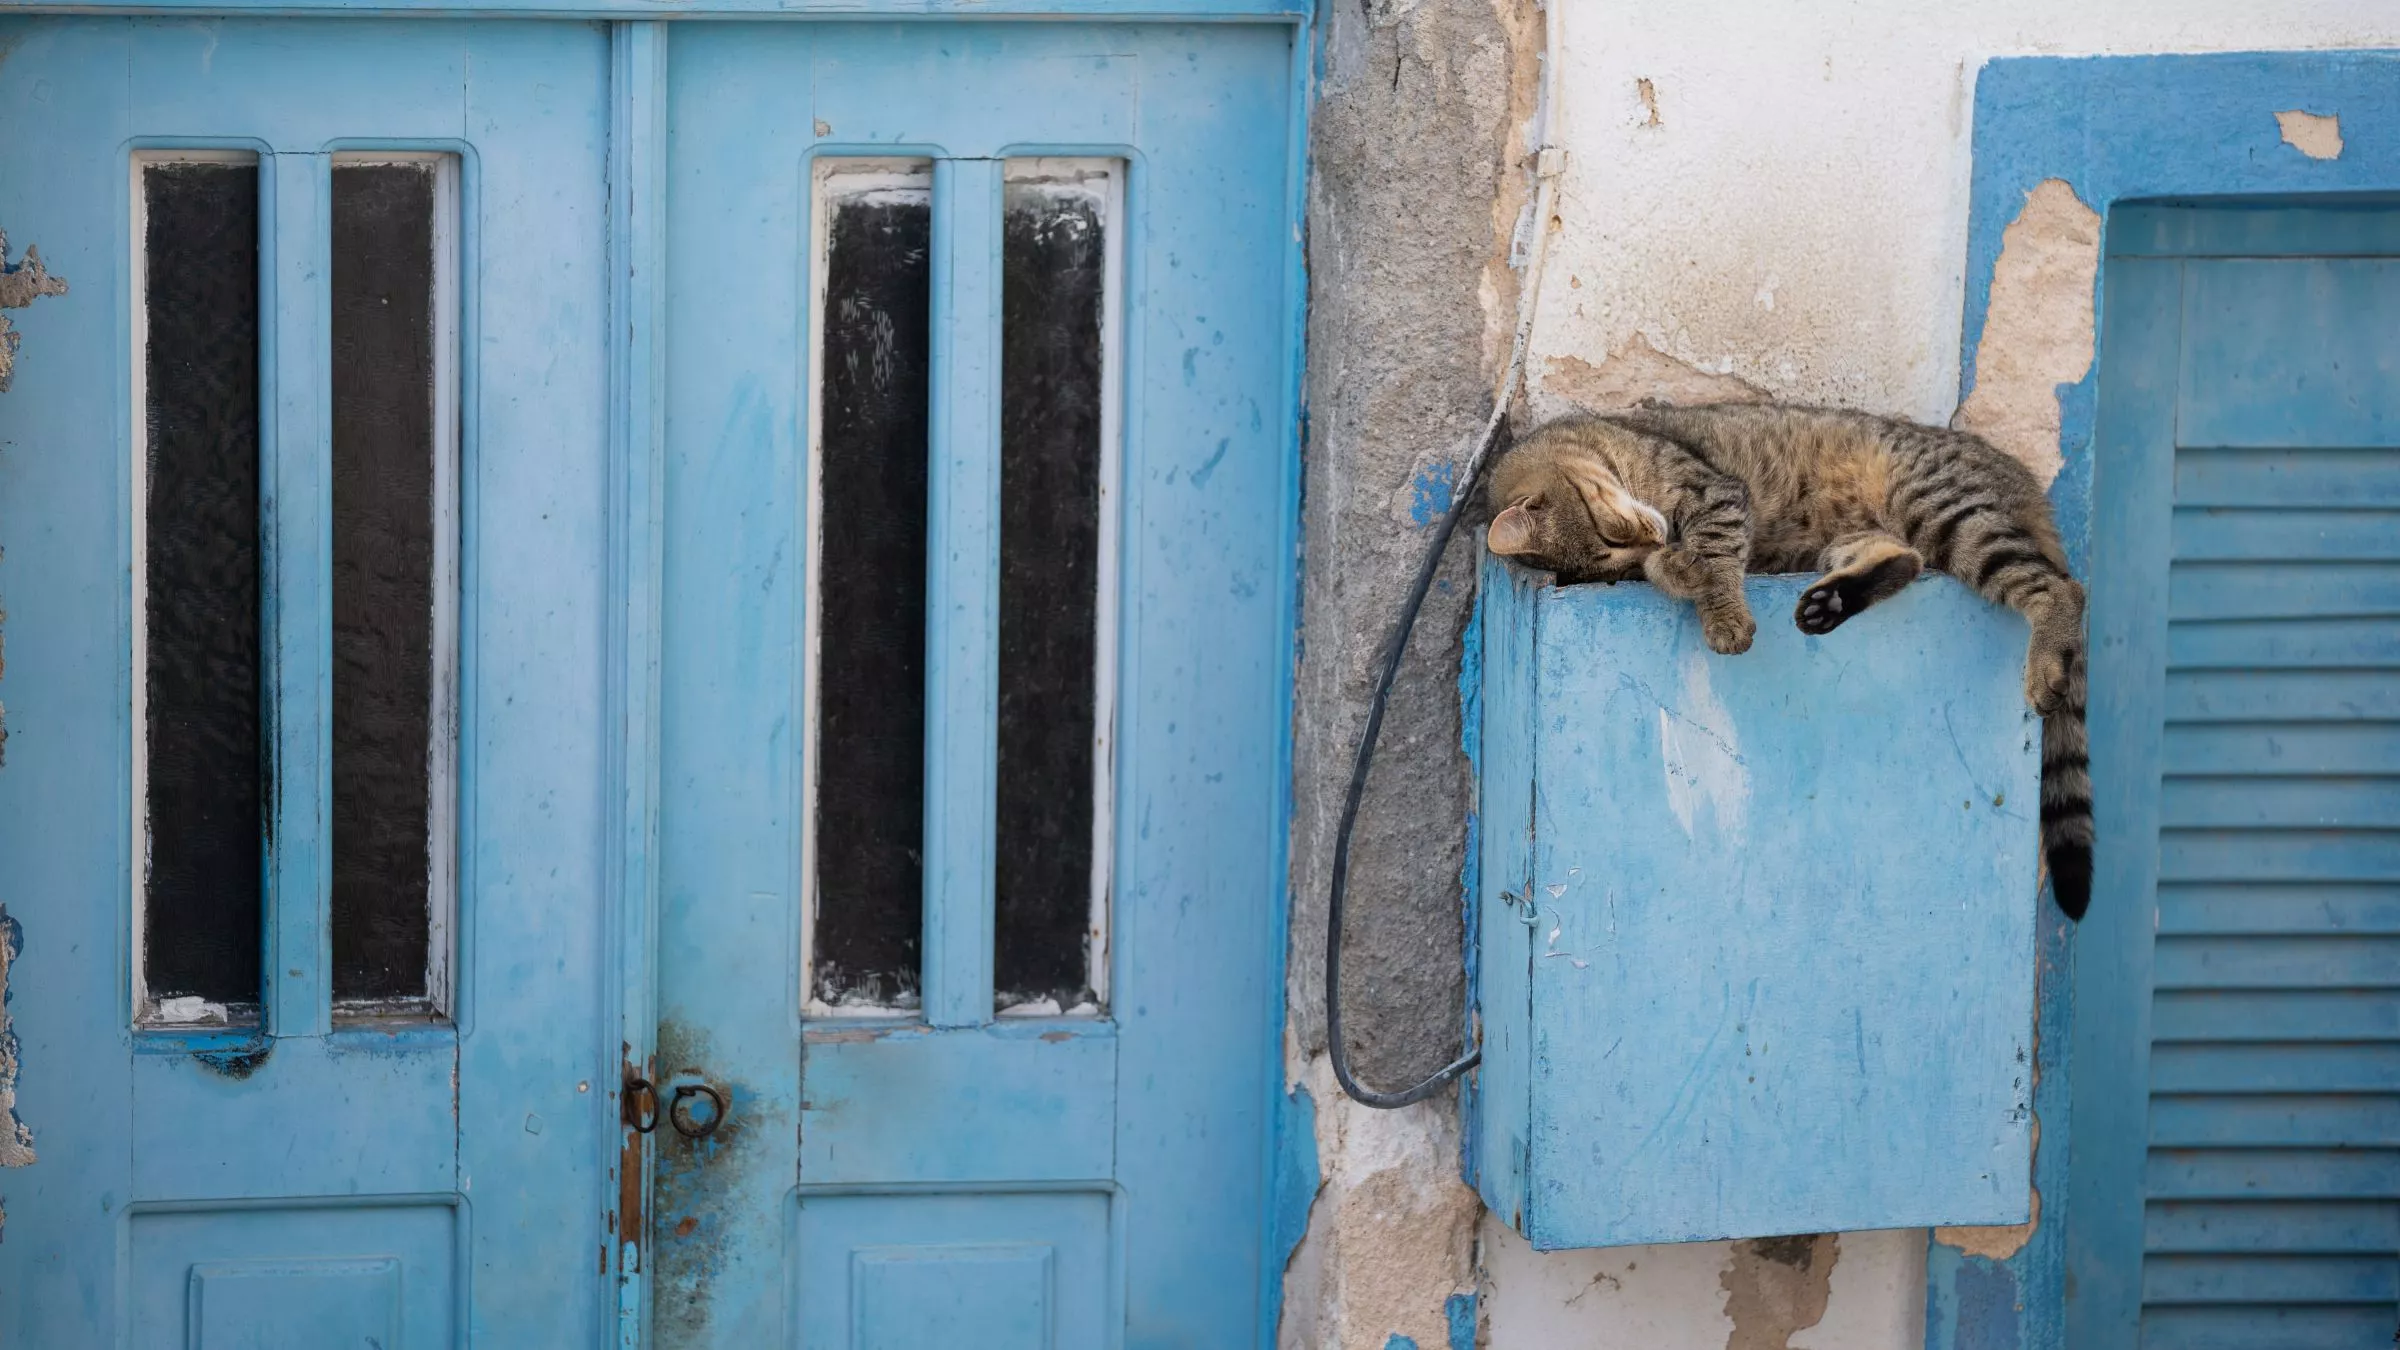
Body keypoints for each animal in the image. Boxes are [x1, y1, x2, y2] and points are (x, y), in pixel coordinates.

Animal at [1488, 398, 2092, 917]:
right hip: (1859, 538)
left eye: (1608, 534)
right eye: (1617, 561)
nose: (1653, 542)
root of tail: (2025, 485)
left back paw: (2045, 662)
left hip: (1939, 506)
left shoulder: (1713, 492)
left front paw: (1719, 608)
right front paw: (1680, 571)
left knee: (2063, 588)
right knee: (1907, 561)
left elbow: (1715, 552)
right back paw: (1831, 603)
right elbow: (1684, 567)